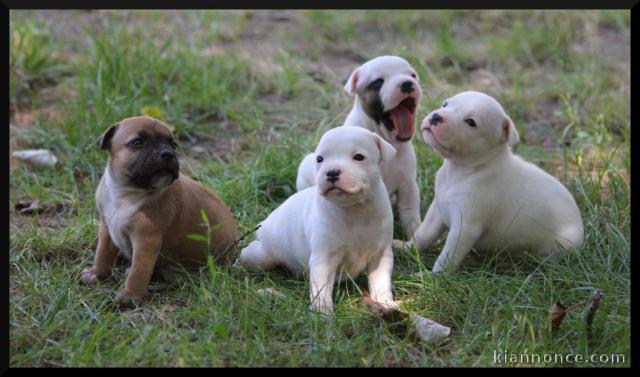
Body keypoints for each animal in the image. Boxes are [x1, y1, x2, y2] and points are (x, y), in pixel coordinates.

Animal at [240, 126, 400, 314]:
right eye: (320, 159)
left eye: (359, 157)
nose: (331, 172)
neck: (354, 210)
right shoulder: (324, 259)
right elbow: (321, 287)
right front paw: (322, 313)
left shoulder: (380, 255)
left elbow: (381, 281)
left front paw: (385, 303)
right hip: (260, 256)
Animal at [296, 55, 424, 238]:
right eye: (378, 82)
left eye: (413, 75)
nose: (407, 83)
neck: (385, 139)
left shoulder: (408, 187)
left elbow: (411, 216)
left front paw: (415, 236)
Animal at [410, 91, 584, 274]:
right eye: (445, 104)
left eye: (471, 122)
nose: (436, 116)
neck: (462, 171)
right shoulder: (437, 210)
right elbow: (424, 234)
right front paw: (406, 247)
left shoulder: (465, 228)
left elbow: (446, 258)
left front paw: (433, 276)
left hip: (564, 242)